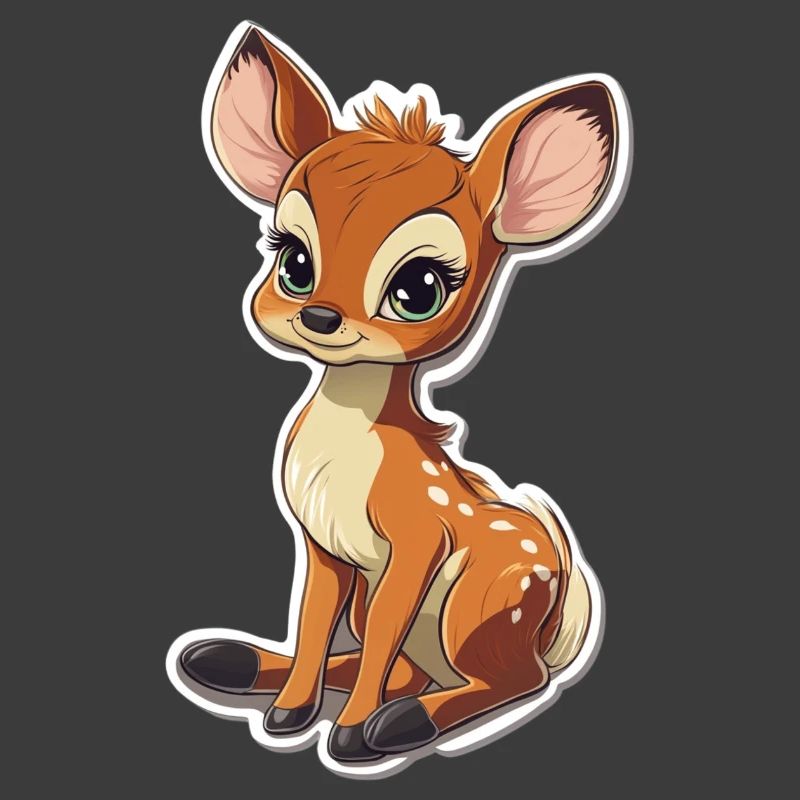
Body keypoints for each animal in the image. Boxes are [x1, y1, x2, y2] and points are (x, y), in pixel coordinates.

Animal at [176, 23, 630, 766]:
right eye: (293, 260)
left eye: (419, 288)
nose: (320, 317)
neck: (349, 448)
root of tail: (556, 620)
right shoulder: (324, 547)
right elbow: (314, 624)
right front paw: (289, 714)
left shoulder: (417, 542)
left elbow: (382, 633)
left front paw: (351, 734)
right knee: (400, 665)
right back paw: (227, 661)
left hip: (480, 599)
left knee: (514, 678)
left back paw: (402, 723)